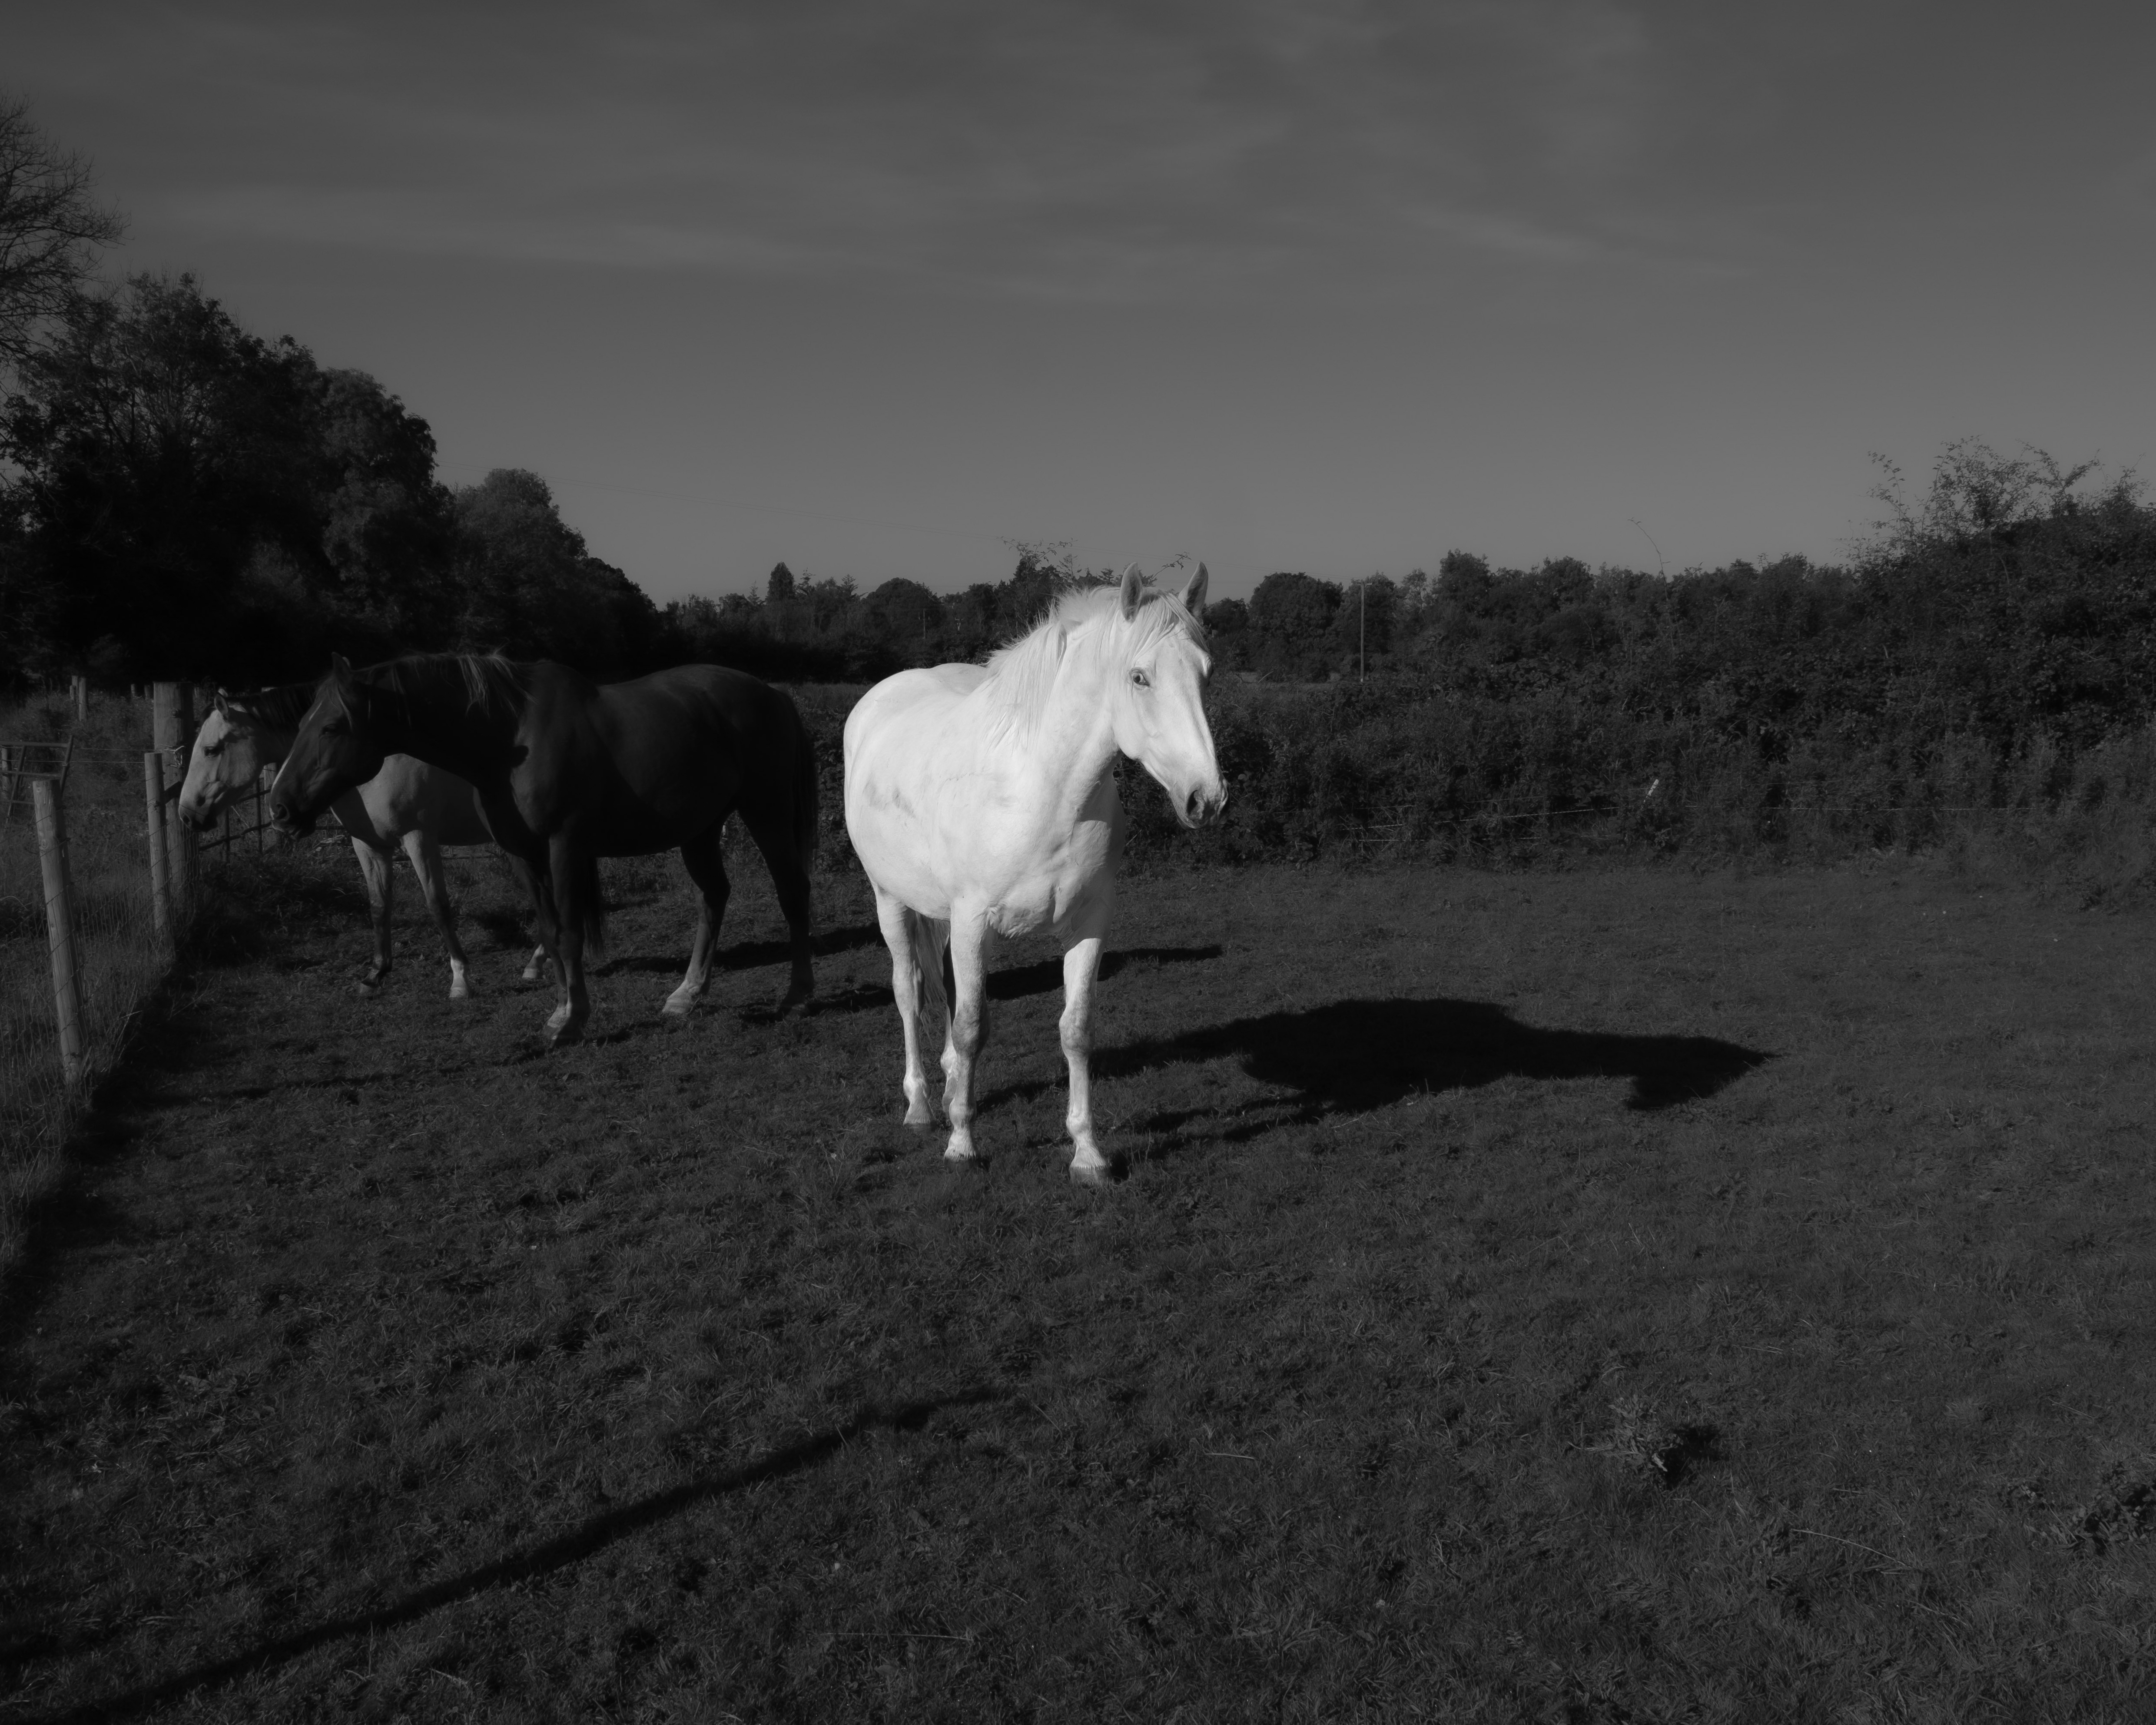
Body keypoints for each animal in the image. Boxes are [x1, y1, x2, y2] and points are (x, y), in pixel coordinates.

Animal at [177, 686, 547, 997]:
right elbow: (378, 905)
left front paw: (460, 979)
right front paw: (375, 975)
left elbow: (437, 905)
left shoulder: (419, 839)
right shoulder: (368, 845)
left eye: (211, 750)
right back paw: (537, 962)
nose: (187, 815)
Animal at [268, 654, 817, 1046]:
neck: (508, 738)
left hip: (766, 811)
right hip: (700, 829)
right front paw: (559, 1011)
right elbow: (551, 934)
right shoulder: (523, 855)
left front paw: (572, 1022)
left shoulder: (563, 846)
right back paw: (687, 995)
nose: (280, 807)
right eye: (301, 723)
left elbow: (570, 933)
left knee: (792, 892)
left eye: (331, 726)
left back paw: (798, 997)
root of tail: (773, 694)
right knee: (713, 897)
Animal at [843, 564, 1223, 1184]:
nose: (1206, 799)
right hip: (890, 901)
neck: (1045, 791)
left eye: (1205, 675)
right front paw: (962, 1143)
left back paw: (948, 1090)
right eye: (1139, 677)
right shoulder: (973, 922)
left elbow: (1075, 1029)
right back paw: (922, 1104)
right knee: (908, 992)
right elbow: (972, 1027)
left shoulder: (1088, 925)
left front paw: (1088, 1153)